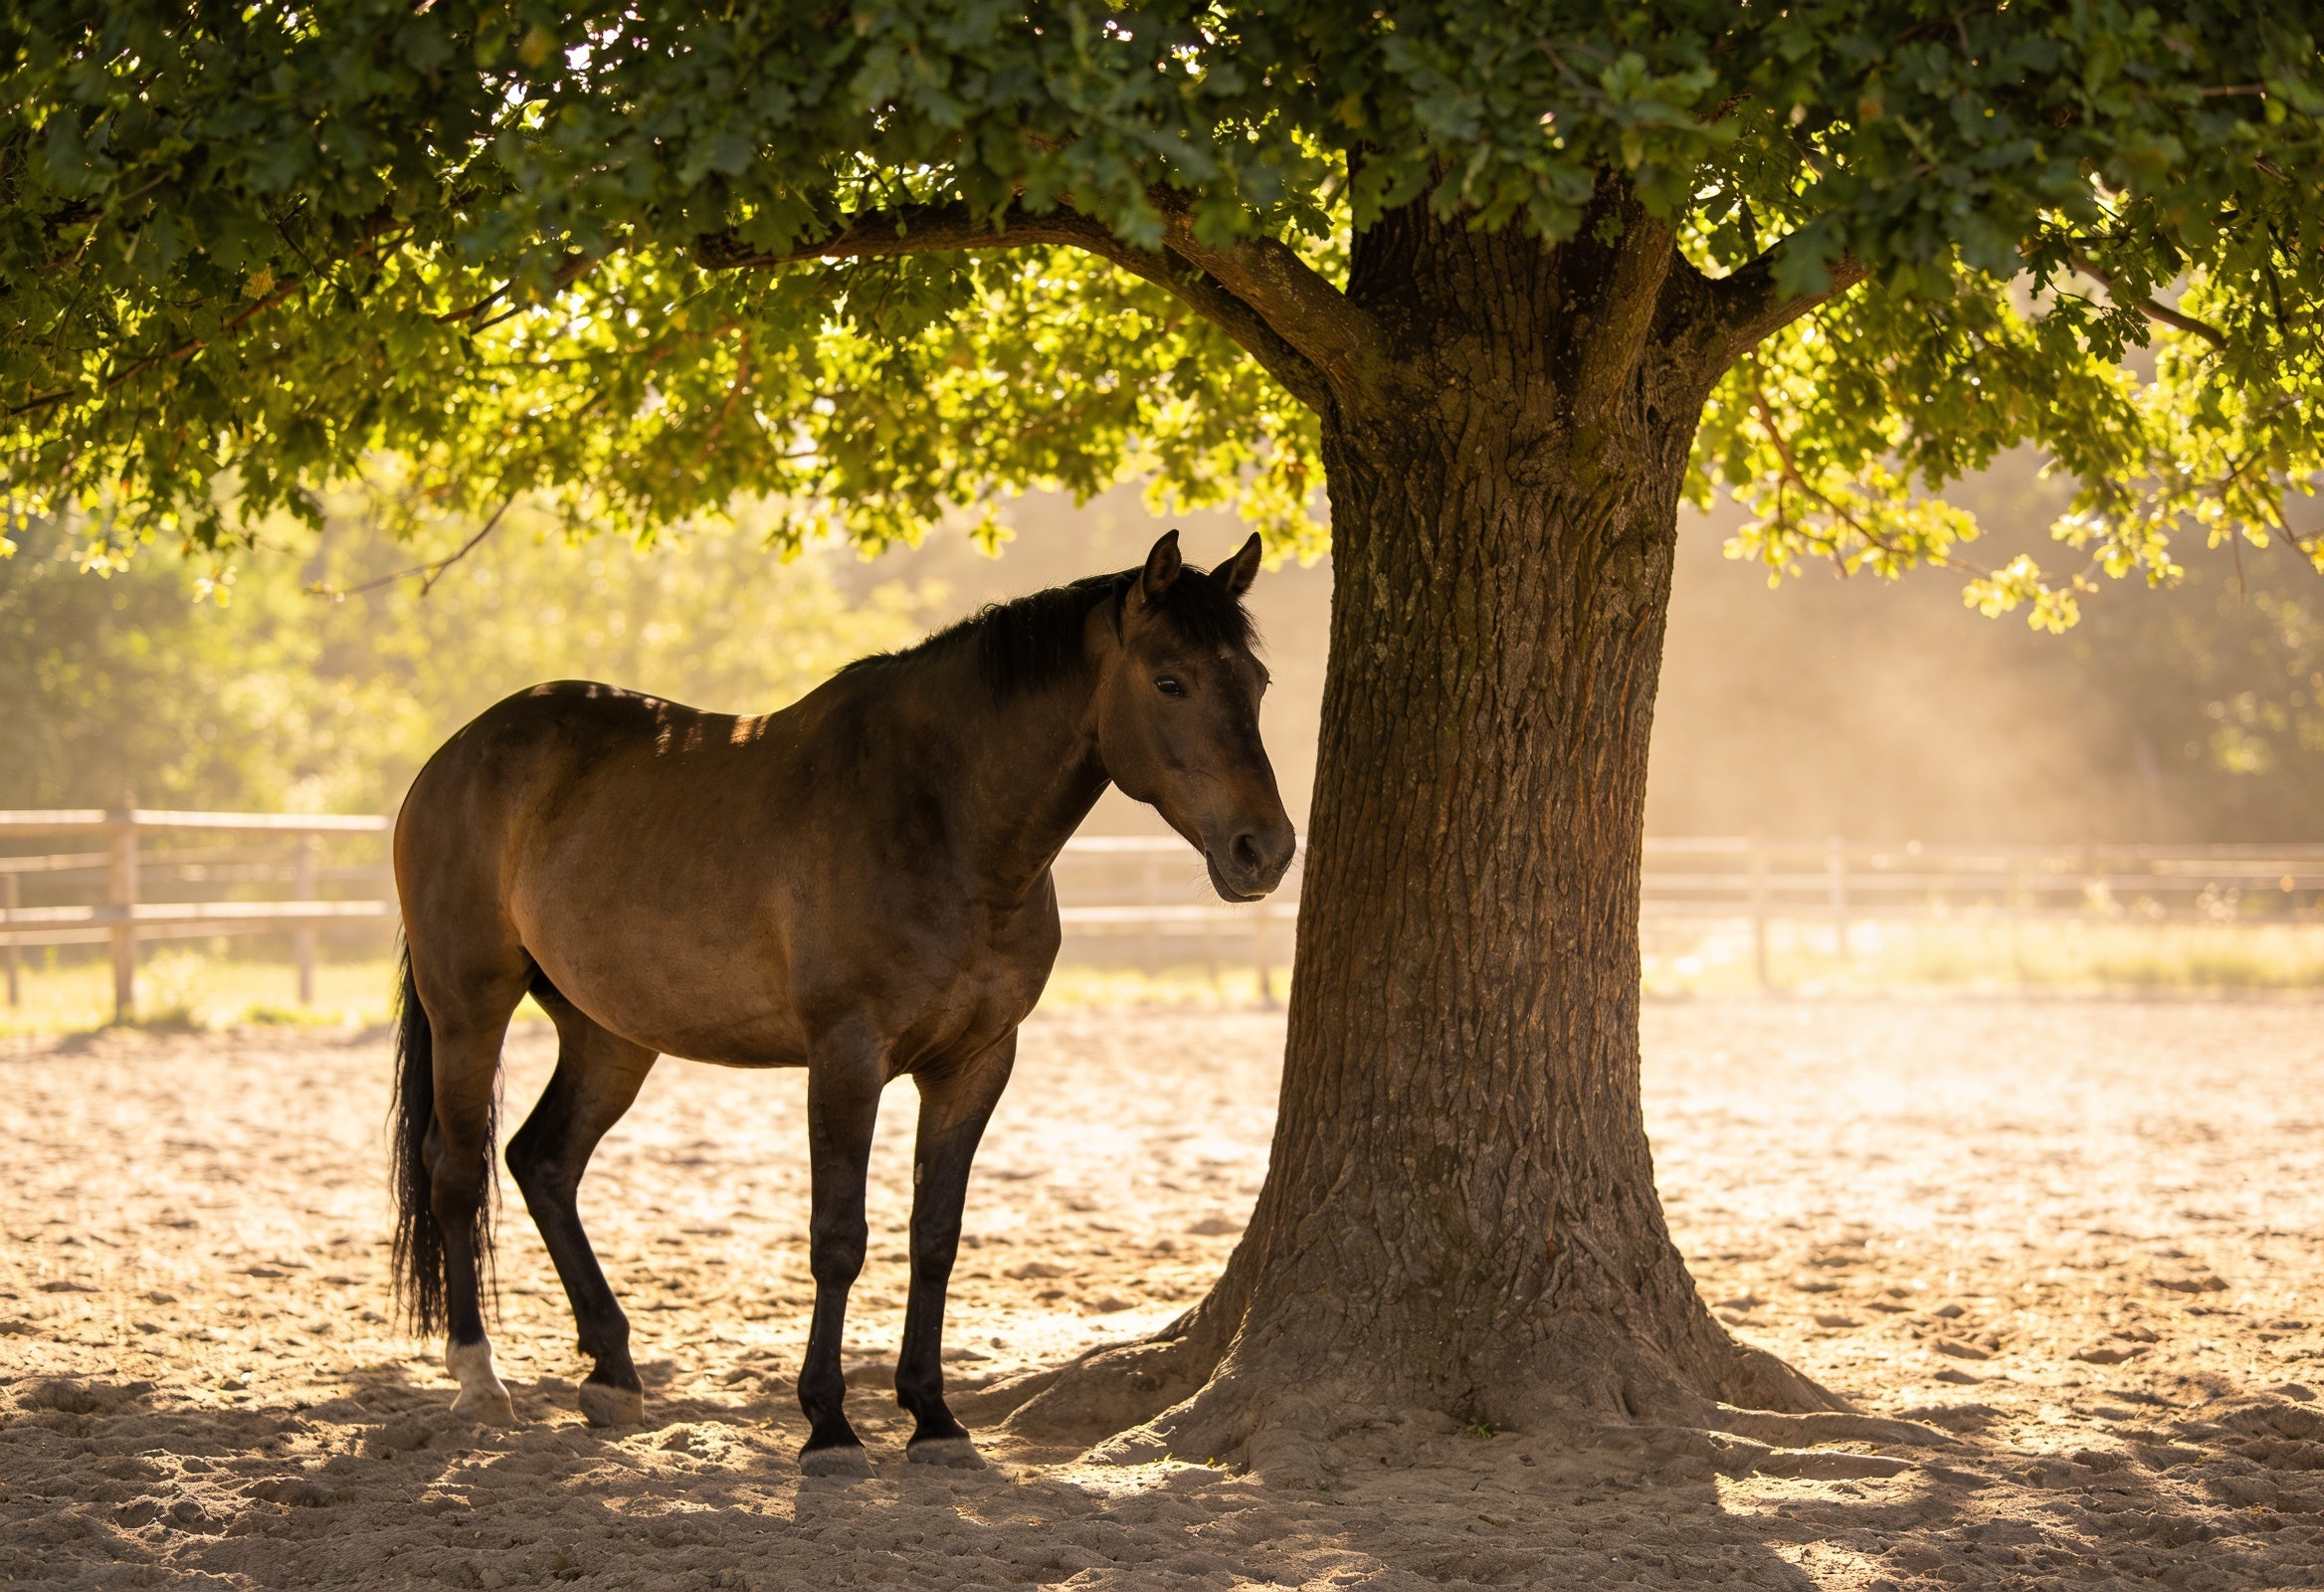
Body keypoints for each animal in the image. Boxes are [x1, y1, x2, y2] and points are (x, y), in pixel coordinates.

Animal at [387, 530, 1296, 1474]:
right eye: (1169, 681)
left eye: (1258, 682)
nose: (1263, 850)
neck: (942, 818)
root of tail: (458, 753)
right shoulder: (846, 1057)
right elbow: (839, 1238)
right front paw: (828, 1423)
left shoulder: (976, 1064)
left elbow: (935, 1237)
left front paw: (934, 1416)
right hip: (469, 1007)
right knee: (457, 1169)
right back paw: (480, 1381)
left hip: (609, 1035)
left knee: (544, 1161)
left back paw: (613, 1374)